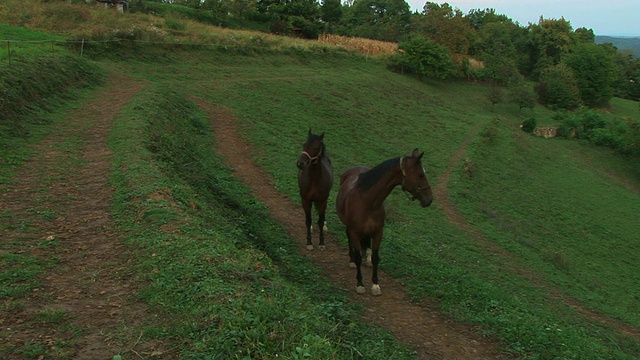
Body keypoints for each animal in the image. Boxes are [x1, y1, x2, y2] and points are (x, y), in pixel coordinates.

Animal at [336, 148, 436, 296]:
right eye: (420, 175)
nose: (429, 199)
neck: (367, 202)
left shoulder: (378, 233)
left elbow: (376, 258)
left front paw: (375, 284)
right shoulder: (355, 232)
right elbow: (359, 257)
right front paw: (360, 284)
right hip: (349, 228)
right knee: (350, 241)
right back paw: (351, 260)